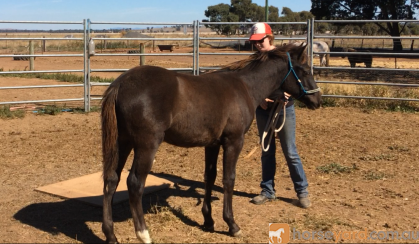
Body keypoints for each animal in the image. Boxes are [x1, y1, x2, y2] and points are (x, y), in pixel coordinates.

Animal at [101, 43, 322, 243]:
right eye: (305, 70)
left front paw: (208, 220)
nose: (317, 100)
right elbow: (228, 179)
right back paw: (143, 234)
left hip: (123, 142)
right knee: (134, 183)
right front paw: (232, 225)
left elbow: (210, 176)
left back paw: (111, 235)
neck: (244, 86)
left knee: (111, 180)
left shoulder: (212, 144)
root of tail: (121, 83)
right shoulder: (234, 141)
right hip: (146, 145)